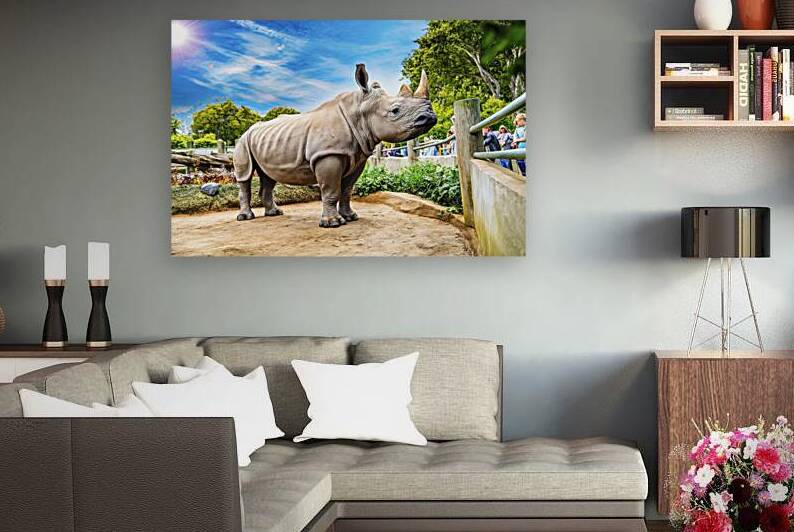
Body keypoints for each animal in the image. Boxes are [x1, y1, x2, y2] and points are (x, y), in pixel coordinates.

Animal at [233, 64, 437, 227]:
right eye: (395, 111)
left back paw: (274, 213)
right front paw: (333, 223)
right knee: (245, 176)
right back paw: (245, 217)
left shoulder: (358, 156)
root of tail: (247, 131)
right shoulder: (328, 155)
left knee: (268, 176)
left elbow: (347, 190)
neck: (359, 113)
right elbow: (331, 190)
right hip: (242, 142)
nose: (429, 117)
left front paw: (351, 217)